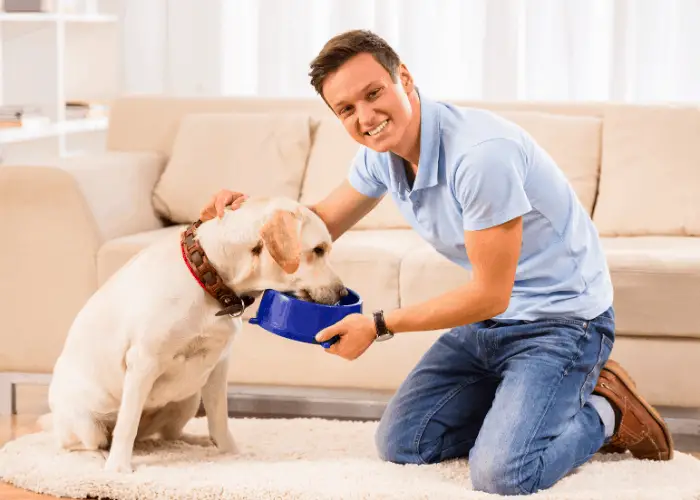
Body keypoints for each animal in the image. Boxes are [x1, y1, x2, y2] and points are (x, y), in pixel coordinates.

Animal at [39, 196, 346, 472]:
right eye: (319, 249)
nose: (343, 292)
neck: (208, 279)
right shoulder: (143, 361)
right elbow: (127, 424)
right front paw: (118, 470)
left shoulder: (218, 365)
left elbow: (219, 419)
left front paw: (231, 453)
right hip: (87, 423)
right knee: (86, 443)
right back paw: (101, 455)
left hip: (187, 399)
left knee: (165, 437)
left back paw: (196, 441)